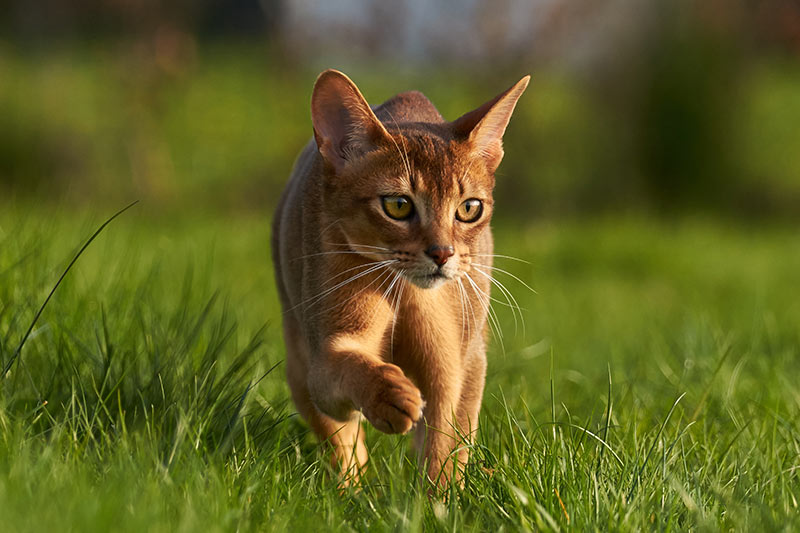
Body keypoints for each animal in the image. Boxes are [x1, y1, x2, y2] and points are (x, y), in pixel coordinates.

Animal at [272, 67, 528, 486]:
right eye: (398, 205)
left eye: (469, 208)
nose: (442, 253)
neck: (405, 294)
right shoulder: (323, 358)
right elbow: (349, 370)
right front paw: (391, 397)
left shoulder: (456, 366)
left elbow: (445, 447)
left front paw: (437, 499)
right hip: (298, 363)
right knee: (342, 445)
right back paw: (350, 489)